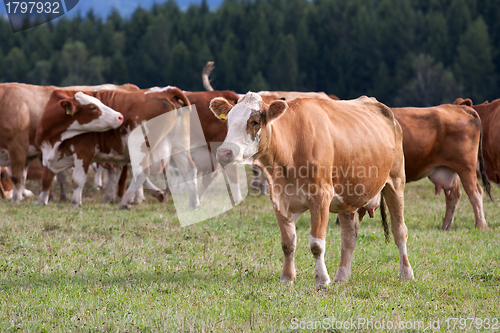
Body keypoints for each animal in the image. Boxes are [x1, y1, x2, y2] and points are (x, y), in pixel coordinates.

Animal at [0, 82, 139, 202]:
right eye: (92, 107)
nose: (119, 117)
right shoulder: (31, 154)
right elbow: (26, 177)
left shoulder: (18, 147)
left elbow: (17, 177)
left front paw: (16, 200)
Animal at [36, 87, 199, 209]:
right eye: (93, 107)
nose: (120, 117)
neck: (54, 138)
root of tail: (166, 91)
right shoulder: (47, 156)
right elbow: (46, 179)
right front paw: (41, 200)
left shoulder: (83, 152)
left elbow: (78, 179)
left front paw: (75, 202)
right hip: (179, 145)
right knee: (189, 169)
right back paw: (194, 203)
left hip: (139, 146)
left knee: (141, 172)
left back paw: (125, 201)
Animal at [209, 92, 412, 288]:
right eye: (228, 121)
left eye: (255, 122)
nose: (224, 152)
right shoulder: (278, 199)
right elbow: (288, 243)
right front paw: (287, 278)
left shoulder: (321, 198)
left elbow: (316, 244)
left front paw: (322, 280)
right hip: (347, 197)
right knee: (349, 236)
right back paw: (341, 277)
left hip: (395, 182)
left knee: (400, 230)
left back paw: (406, 274)